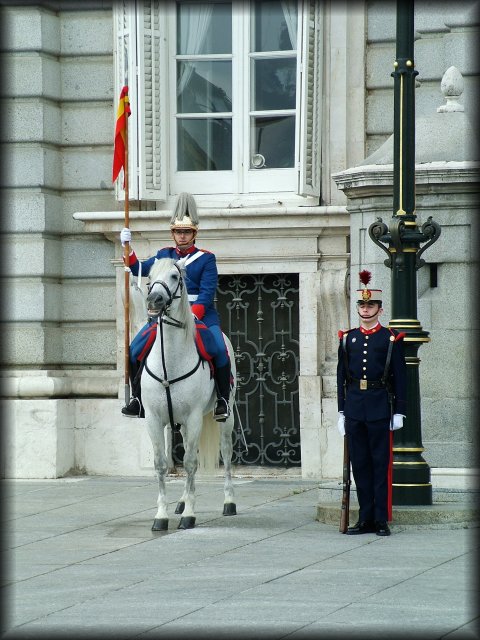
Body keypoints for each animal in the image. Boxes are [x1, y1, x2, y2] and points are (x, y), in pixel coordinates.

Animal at [140, 255, 237, 528]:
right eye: (149, 276)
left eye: (175, 276)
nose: (154, 300)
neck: (170, 362)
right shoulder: (154, 419)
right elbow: (161, 465)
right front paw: (161, 516)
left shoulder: (194, 418)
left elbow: (192, 463)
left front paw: (190, 515)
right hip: (181, 424)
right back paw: (182, 501)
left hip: (225, 417)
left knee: (226, 453)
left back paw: (229, 502)